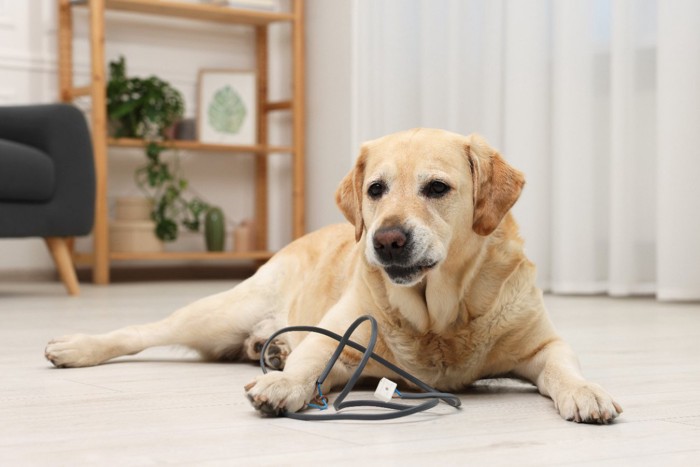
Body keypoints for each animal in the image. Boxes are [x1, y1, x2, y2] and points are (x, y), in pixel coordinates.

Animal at [45, 128, 624, 424]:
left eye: (437, 188)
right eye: (375, 189)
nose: (386, 239)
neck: (440, 317)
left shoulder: (542, 345)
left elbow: (564, 369)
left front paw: (587, 393)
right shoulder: (341, 338)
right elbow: (310, 360)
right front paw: (282, 383)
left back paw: (271, 347)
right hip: (219, 312)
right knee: (140, 332)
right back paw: (76, 346)